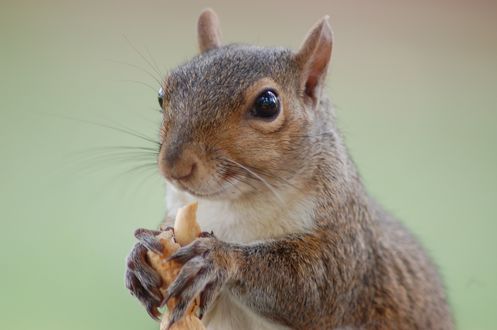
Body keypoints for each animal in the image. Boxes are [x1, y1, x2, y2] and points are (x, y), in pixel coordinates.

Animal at [125, 8, 454, 330]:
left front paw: (217, 258)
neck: (234, 205)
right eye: (161, 95)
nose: (173, 166)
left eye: (267, 104)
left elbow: (316, 287)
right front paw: (138, 258)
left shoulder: (345, 242)